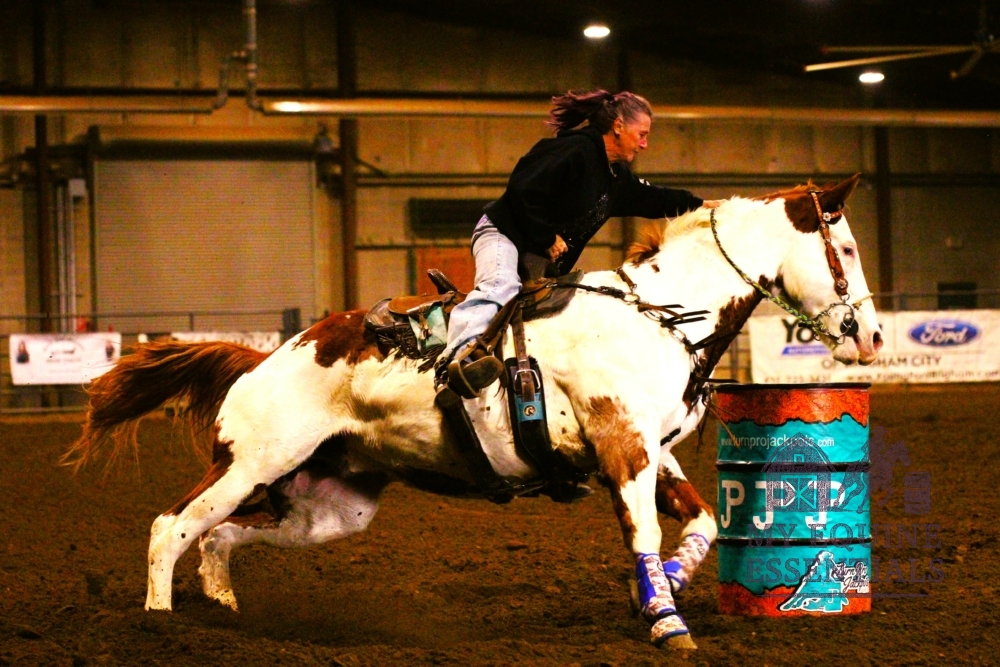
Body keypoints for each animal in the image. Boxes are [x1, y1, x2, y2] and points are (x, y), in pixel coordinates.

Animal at [65, 174, 882, 651]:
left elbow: (705, 520)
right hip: (251, 461)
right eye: (843, 245)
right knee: (172, 525)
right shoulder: (624, 447)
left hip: (330, 503)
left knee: (220, 534)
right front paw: (668, 623)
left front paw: (661, 589)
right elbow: (646, 529)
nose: (872, 336)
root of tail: (264, 359)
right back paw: (161, 627)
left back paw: (223, 601)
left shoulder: (658, 450)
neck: (658, 313)